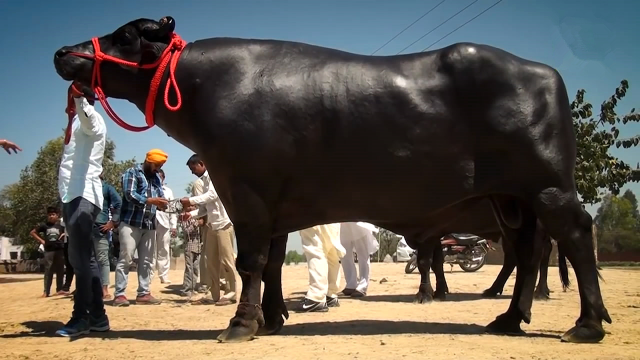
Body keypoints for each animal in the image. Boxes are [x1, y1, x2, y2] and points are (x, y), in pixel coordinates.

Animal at [53, 16, 608, 344]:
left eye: (127, 35)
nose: (63, 52)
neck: (211, 88)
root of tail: (543, 73)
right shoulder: (274, 206)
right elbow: (272, 263)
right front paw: (273, 317)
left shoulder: (245, 192)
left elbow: (250, 261)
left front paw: (241, 324)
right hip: (511, 200)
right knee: (528, 251)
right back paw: (511, 319)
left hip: (549, 187)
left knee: (576, 237)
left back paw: (586, 324)